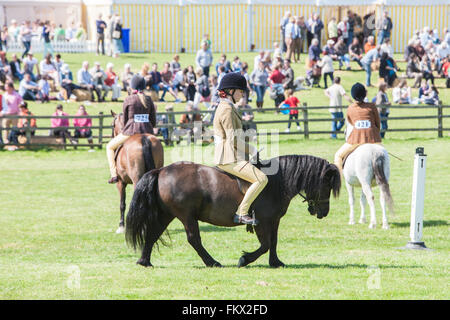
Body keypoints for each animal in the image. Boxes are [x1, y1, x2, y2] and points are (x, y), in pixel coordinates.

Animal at [125, 155, 340, 268]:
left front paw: (276, 262)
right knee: (194, 239)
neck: (276, 182)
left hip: (167, 215)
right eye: (326, 186)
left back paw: (144, 261)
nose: (324, 212)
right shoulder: (262, 221)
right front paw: (245, 259)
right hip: (186, 216)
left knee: (152, 234)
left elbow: (273, 242)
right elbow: (265, 244)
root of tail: (161, 170)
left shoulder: (274, 220)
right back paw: (212, 262)